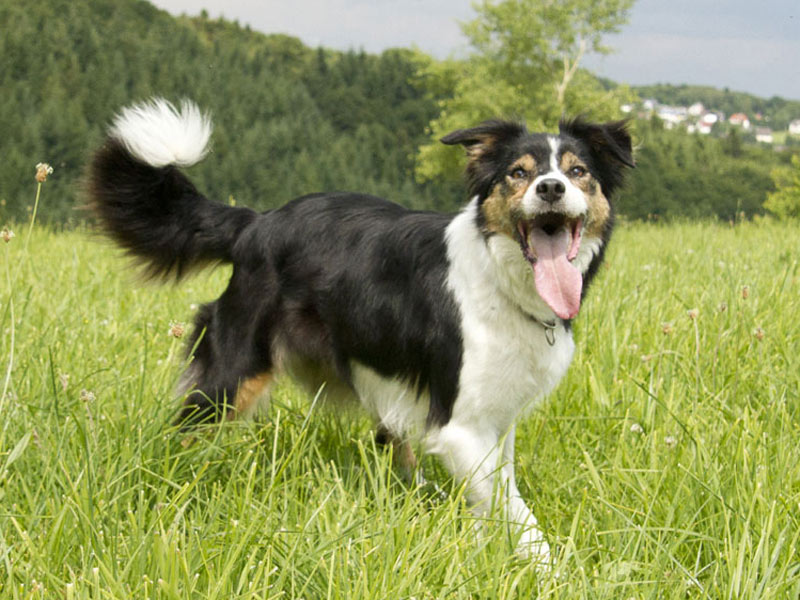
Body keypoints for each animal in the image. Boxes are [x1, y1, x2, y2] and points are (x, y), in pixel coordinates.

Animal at [90, 97, 636, 564]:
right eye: (518, 173)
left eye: (579, 172)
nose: (550, 188)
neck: (503, 279)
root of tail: (256, 222)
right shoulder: (458, 427)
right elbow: (519, 516)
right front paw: (551, 571)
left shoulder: (497, 418)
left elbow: (499, 498)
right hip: (232, 373)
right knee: (182, 434)